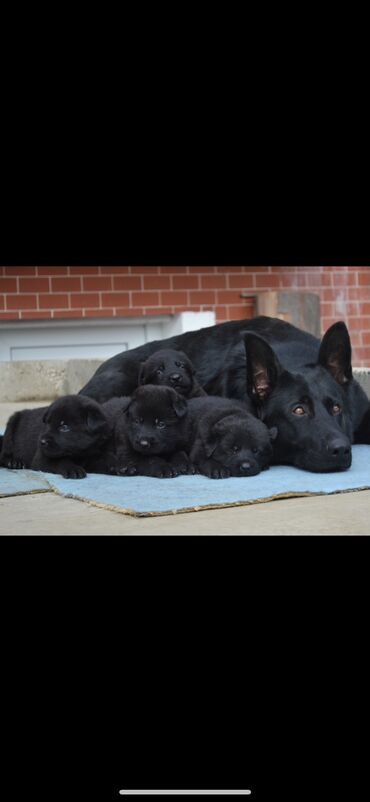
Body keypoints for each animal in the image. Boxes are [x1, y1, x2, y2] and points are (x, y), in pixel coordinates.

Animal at [0, 392, 130, 476]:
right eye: (47, 423)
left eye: (64, 427)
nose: (42, 441)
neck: (81, 453)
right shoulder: (42, 458)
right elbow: (59, 460)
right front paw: (72, 469)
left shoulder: (96, 453)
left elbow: (107, 457)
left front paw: (120, 464)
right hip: (11, 425)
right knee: (4, 452)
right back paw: (14, 462)